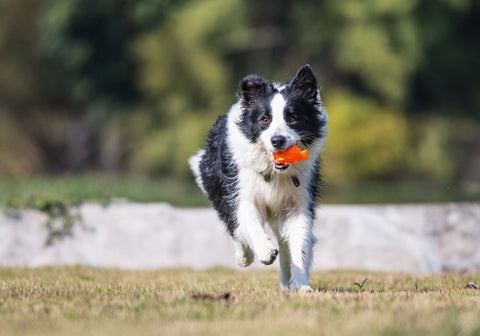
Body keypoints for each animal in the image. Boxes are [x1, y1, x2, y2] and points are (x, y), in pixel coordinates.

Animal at [189, 65, 328, 292]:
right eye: (265, 119)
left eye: (292, 118)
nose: (277, 140)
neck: (275, 172)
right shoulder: (240, 191)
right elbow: (249, 221)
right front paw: (265, 251)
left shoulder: (299, 201)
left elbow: (299, 243)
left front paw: (301, 285)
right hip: (216, 186)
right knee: (236, 228)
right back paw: (244, 257)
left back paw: (285, 282)